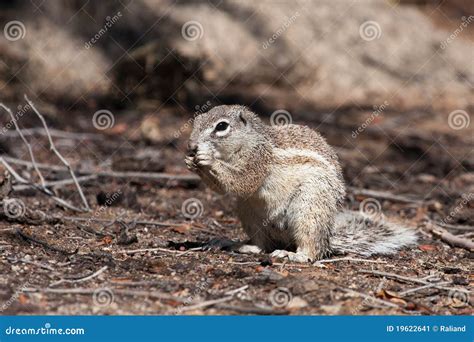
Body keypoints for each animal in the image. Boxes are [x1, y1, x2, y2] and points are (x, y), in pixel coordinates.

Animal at [183, 105, 416, 264]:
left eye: (221, 126)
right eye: (196, 121)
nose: (191, 145)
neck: (248, 141)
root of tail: (327, 238)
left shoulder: (258, 160)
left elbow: (243, 181)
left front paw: (207, 159)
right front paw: (191, 162)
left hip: (309, 208)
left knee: (311, 250)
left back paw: (294, 255)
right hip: (249, 212)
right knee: (263, 245)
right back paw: (238, 245)